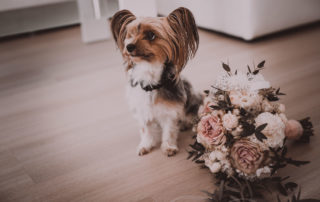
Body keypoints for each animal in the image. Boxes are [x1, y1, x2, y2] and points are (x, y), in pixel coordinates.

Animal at [110, 6, 200, 156]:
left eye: (151, 35)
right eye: (130, 34)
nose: (129, 46)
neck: (150, 81)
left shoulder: (170, 111)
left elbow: (169, 131)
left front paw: (169, 147)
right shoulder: (142, 110)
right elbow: (145, 130)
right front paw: (145, 145)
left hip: (191, 99)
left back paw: (186, 124)